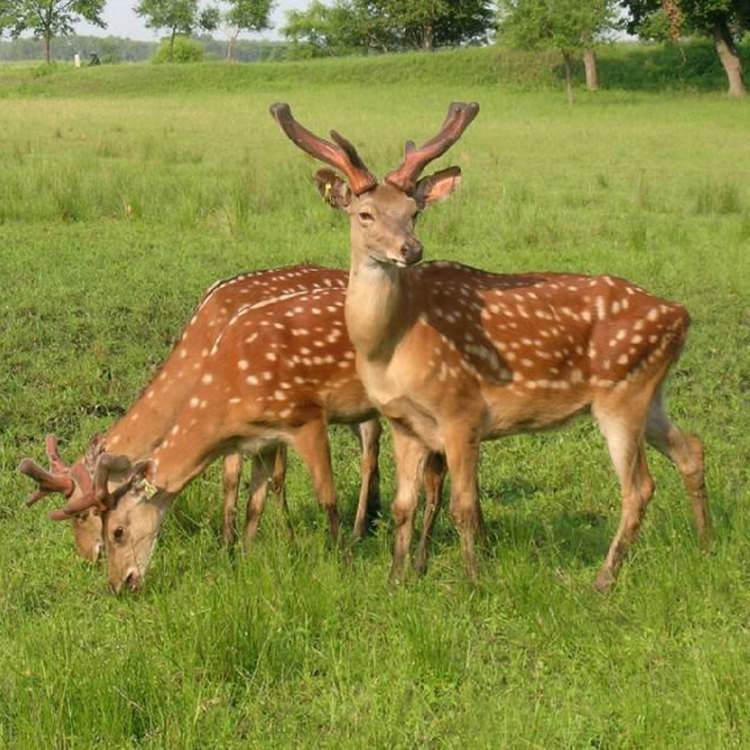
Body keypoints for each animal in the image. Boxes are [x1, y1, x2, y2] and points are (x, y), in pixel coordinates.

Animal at [20, 266, 384, 564]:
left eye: (83, 515)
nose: (88, 557)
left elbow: (267, 476)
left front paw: (284, 540)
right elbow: (237, 480)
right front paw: (229, 545)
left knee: (371, 447)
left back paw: (359, 530)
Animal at [268, 103, 712, 592]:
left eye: (413, 211)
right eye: (365, 214)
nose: (411, 249)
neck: (391, 345)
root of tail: (680, 315)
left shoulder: (461, 410)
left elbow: (464, 505)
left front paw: (474, 580)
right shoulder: (404, 423)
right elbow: (404, 507)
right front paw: (396, 579)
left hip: (622, 394)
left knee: (638, 487)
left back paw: (603, 579)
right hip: (650, 393)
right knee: (691, 449)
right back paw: (705, 545)